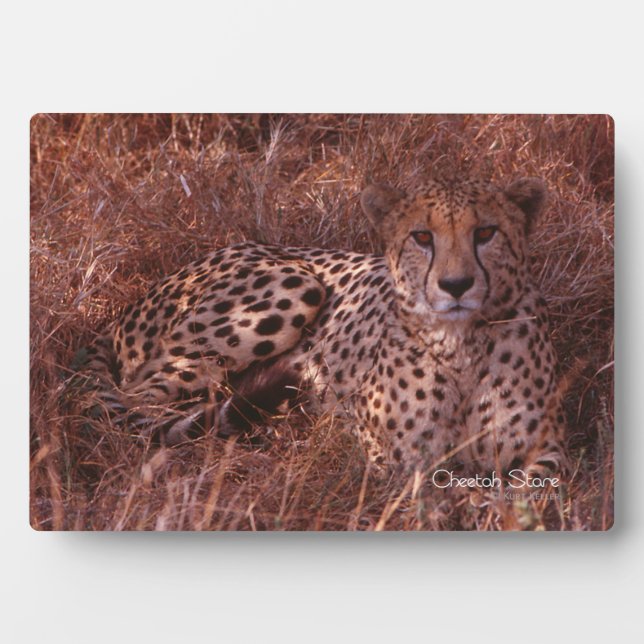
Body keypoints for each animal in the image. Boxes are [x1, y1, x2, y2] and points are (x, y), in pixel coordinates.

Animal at [76, 175, 567, 480]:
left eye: (485, 233)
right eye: (422, 237)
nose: (456, 285)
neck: (461, 345)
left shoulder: (549, 451)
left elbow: (529, 492)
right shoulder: (392, 457)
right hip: (294, 286)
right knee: (137, 404)